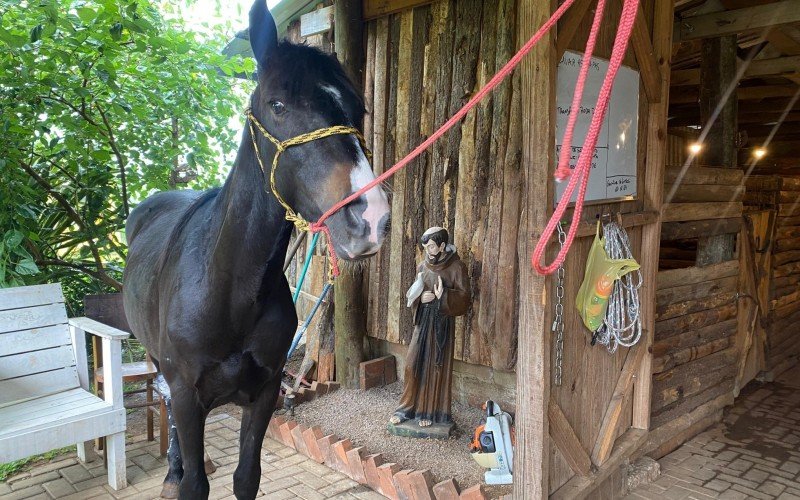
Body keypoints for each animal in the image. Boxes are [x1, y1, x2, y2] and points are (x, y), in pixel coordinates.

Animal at [121, 1, 390, 498]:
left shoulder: (264, 393)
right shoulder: (188, 397)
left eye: (358, 109)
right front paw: (182, 474)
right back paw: (171, 472)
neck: (227, 290)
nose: (371, 218)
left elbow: (247, 477)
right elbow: (195, 483)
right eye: (277, 105)